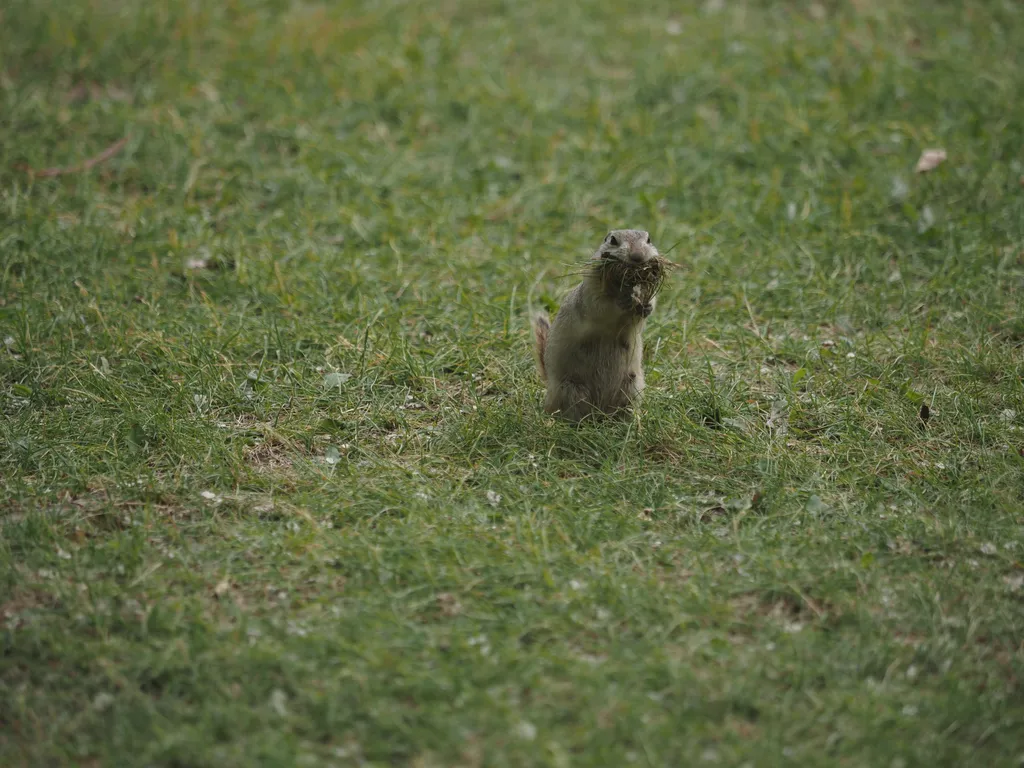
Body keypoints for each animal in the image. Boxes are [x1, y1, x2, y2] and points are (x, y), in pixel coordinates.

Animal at [532, 230, 667, 421]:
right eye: (613, 240)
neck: (621, 286)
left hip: (632, 385)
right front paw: (622, 302)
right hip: (571, 389)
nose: (638, 256)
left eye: (648, 240)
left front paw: (646, 306)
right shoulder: (591, 291)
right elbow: (601, 306)